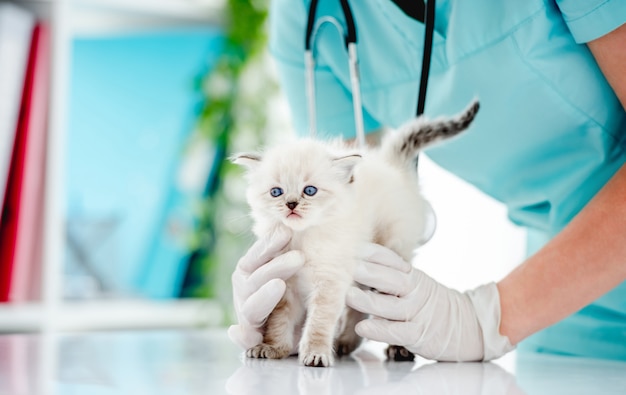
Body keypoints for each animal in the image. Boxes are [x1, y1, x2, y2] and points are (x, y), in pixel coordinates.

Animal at [232, 100, 480, 368]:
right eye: (276, 192)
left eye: (310, 190)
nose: (291, 204)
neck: (304, 240)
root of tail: (391, 167)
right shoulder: (284, 285)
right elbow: (278, 322)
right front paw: (273, 348)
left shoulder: (329, 282)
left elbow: (318, 323)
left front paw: (315, 353)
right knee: (358, 307)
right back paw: (345, 343)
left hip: (391, 264)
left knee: (389, 312)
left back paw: (396, 348)